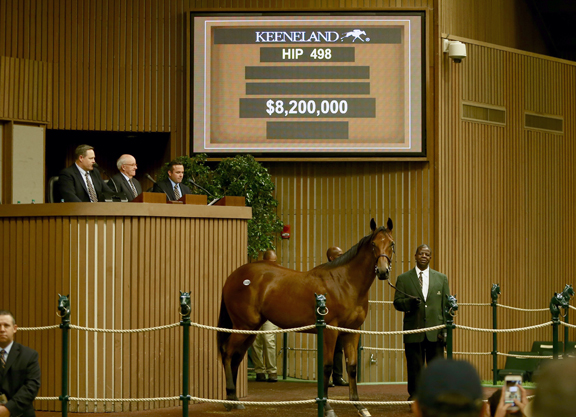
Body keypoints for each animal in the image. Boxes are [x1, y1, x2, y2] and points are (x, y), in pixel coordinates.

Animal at [218, 218, 394, 416]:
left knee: (236, 357)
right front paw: (327, 407)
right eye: (373, 244)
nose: (383, 271)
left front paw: (360, 406)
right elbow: (326, 367)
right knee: (227, 353)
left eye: (392, 244)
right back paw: (229, 401)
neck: (344, 283)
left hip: (251, 330)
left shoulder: (352, 331)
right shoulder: (330, 332)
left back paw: (234, 399)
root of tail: (233, 277)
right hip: (243, 327)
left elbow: (352, 367)